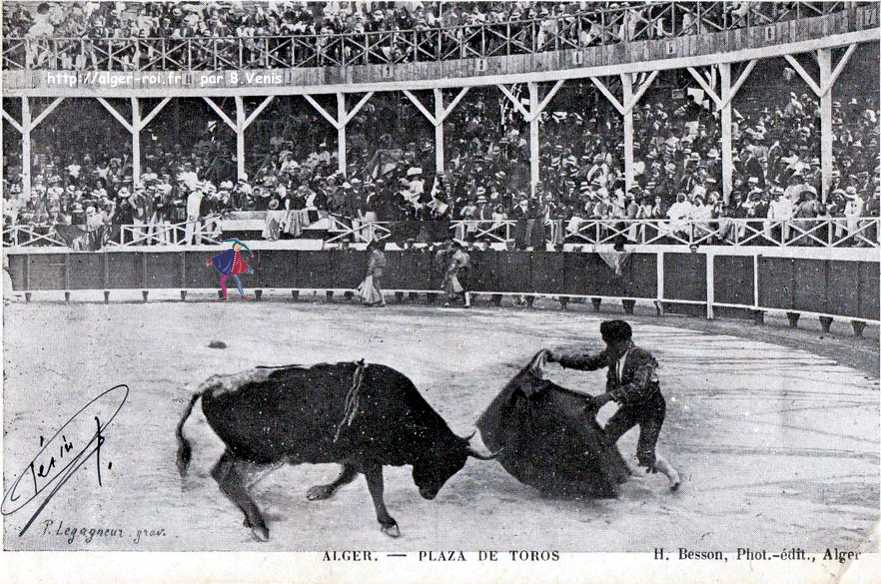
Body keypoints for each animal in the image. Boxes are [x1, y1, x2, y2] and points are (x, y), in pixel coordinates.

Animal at [175, 362, 498, 540]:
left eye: (456, 467)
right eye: (438, 459)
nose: (429, 494)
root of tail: (214, 383)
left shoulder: (353, 455)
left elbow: (347, 476)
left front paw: (319, 491)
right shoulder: (369, 456)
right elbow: (375, 487)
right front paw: (388, 523)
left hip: (240, 452)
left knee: (222, 475)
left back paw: (248, 517)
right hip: (263, 455)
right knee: (230, 480)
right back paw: (259, 525)